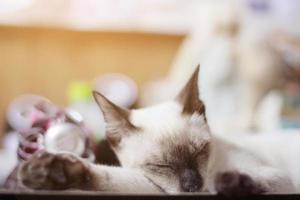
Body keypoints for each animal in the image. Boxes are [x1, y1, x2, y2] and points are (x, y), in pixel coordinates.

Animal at [18, 66, 298, 197]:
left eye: (200, 151)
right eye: (161, 166)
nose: (193, 186)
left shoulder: (279, 177)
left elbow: (247, 178)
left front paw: (228, 184)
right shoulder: (157, 187)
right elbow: (104, 177)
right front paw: (48, 173)